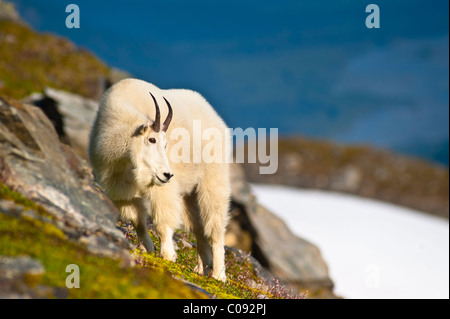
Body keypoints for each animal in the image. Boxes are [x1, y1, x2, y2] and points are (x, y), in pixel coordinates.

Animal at [88, 79, 230, 282]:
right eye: (152, 139)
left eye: (166, 144)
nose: (167, 174)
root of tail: (216, 118)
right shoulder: (121, 188)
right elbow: (137, 220)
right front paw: (148, 249)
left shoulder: (161, 188)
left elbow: (163, 221)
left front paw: (168, 256)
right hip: (188, 194)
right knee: (198, 228)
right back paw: (201, 269)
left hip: (213, 180)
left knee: (215, 226)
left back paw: (218, 275)